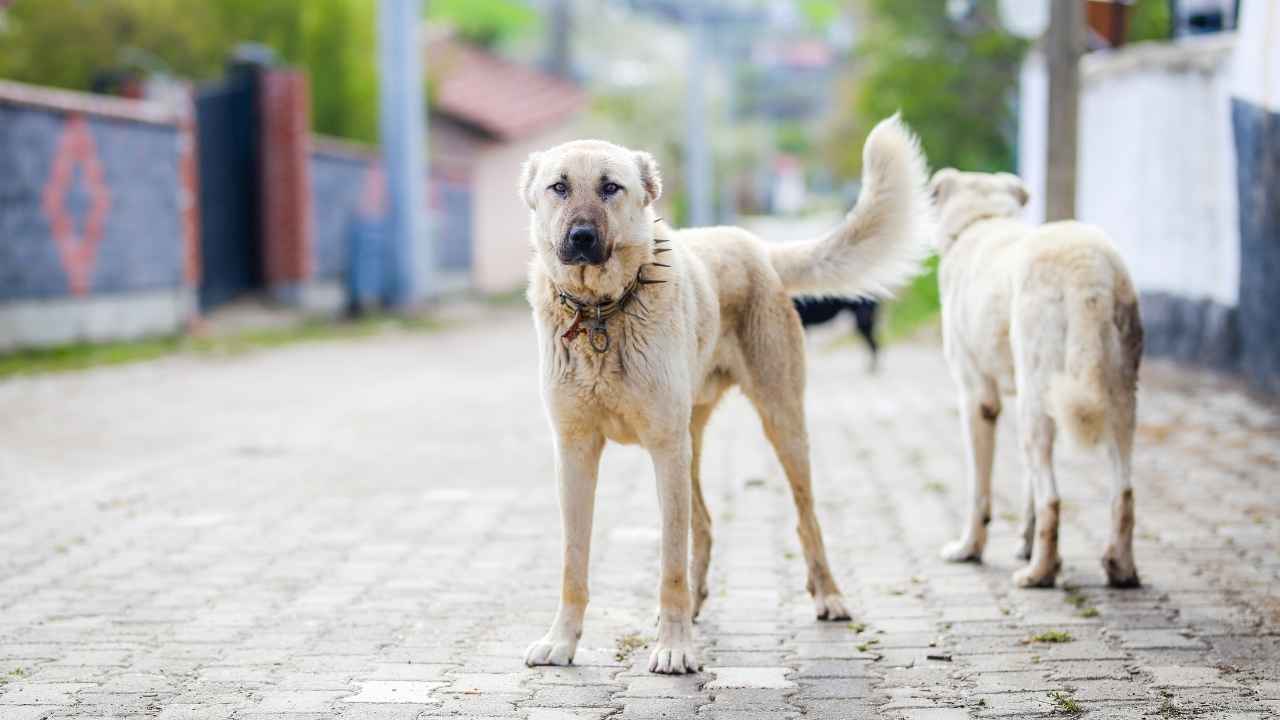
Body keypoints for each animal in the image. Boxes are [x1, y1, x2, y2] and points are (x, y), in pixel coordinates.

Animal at [517, 117, 931, 671]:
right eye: (559, 187)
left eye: (610, 187)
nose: (581, 238)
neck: (603, 312)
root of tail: (755, 244)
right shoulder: (576, 452)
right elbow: (573, 562)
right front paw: (562, 640)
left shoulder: (664, 449)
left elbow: (670, 563)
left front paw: (674, 647)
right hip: (690, 444)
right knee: (706, 523)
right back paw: (696, 605)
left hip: (780, 425)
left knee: (806, 520)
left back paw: (828, 595)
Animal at [926, 169, 1146, 589]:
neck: (982, 220)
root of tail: (1086, 267)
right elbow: (1027, 484)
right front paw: (1024, 543)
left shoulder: (978, 397)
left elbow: (979, 489)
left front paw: (969, 548)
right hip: (1115, 396)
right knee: (1124, 491)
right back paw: (1120, 568)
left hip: (1039, 397)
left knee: (1052, 498)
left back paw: (1039, 572)